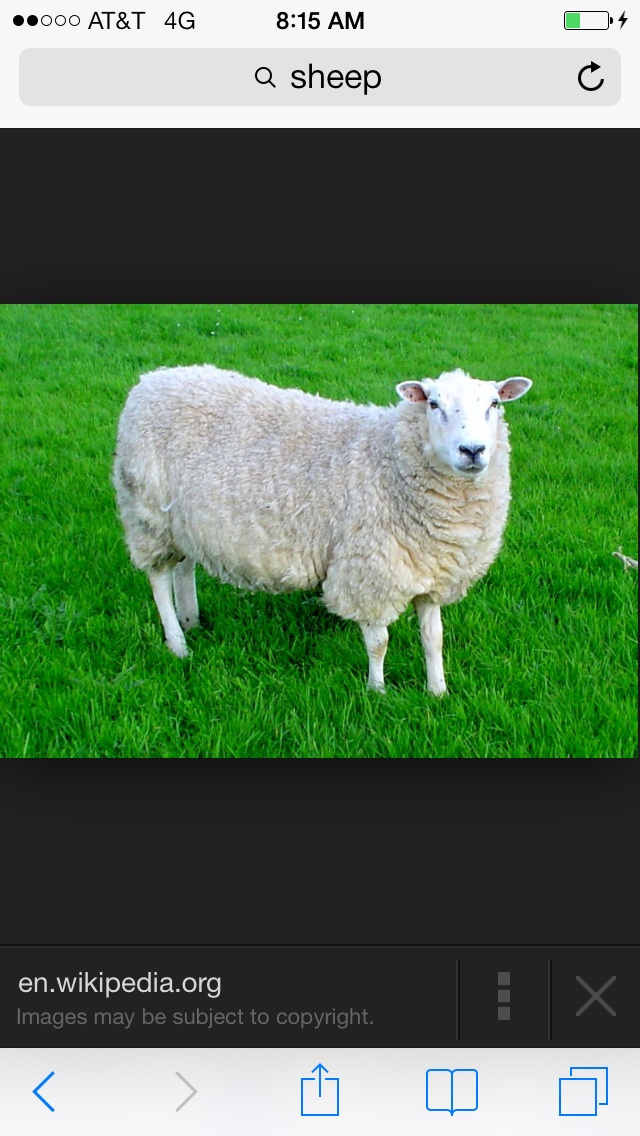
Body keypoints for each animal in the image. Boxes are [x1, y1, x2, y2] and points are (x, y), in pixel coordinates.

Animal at [113, 365, 532, 695]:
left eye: (495, 404)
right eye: (433, 404)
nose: (472, 451)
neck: (389, 461)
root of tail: (150, 379)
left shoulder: (428, 570)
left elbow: (434, 639)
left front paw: (438, 691)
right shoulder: (369, 572)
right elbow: (379, 642)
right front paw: (377, 692)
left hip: (182, 521)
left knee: (184, 567)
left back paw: (192, 620)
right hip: (146, 513)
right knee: (159, 578)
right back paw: (178, 642)